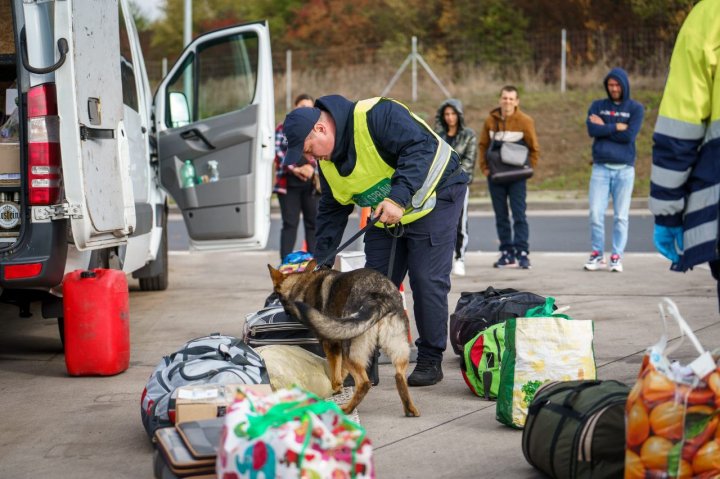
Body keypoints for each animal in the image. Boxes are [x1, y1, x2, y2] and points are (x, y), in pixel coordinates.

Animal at [268, 260, 420, 418]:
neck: (302, 283)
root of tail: (379, 299)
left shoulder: (330, 344)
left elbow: (334, 372)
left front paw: (335, 389)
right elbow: (340, 371)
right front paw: (339, 387)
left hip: (350, 352)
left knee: (364, 383)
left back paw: (346, 409)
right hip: (397, 349)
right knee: (399, 376)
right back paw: (409, 409)